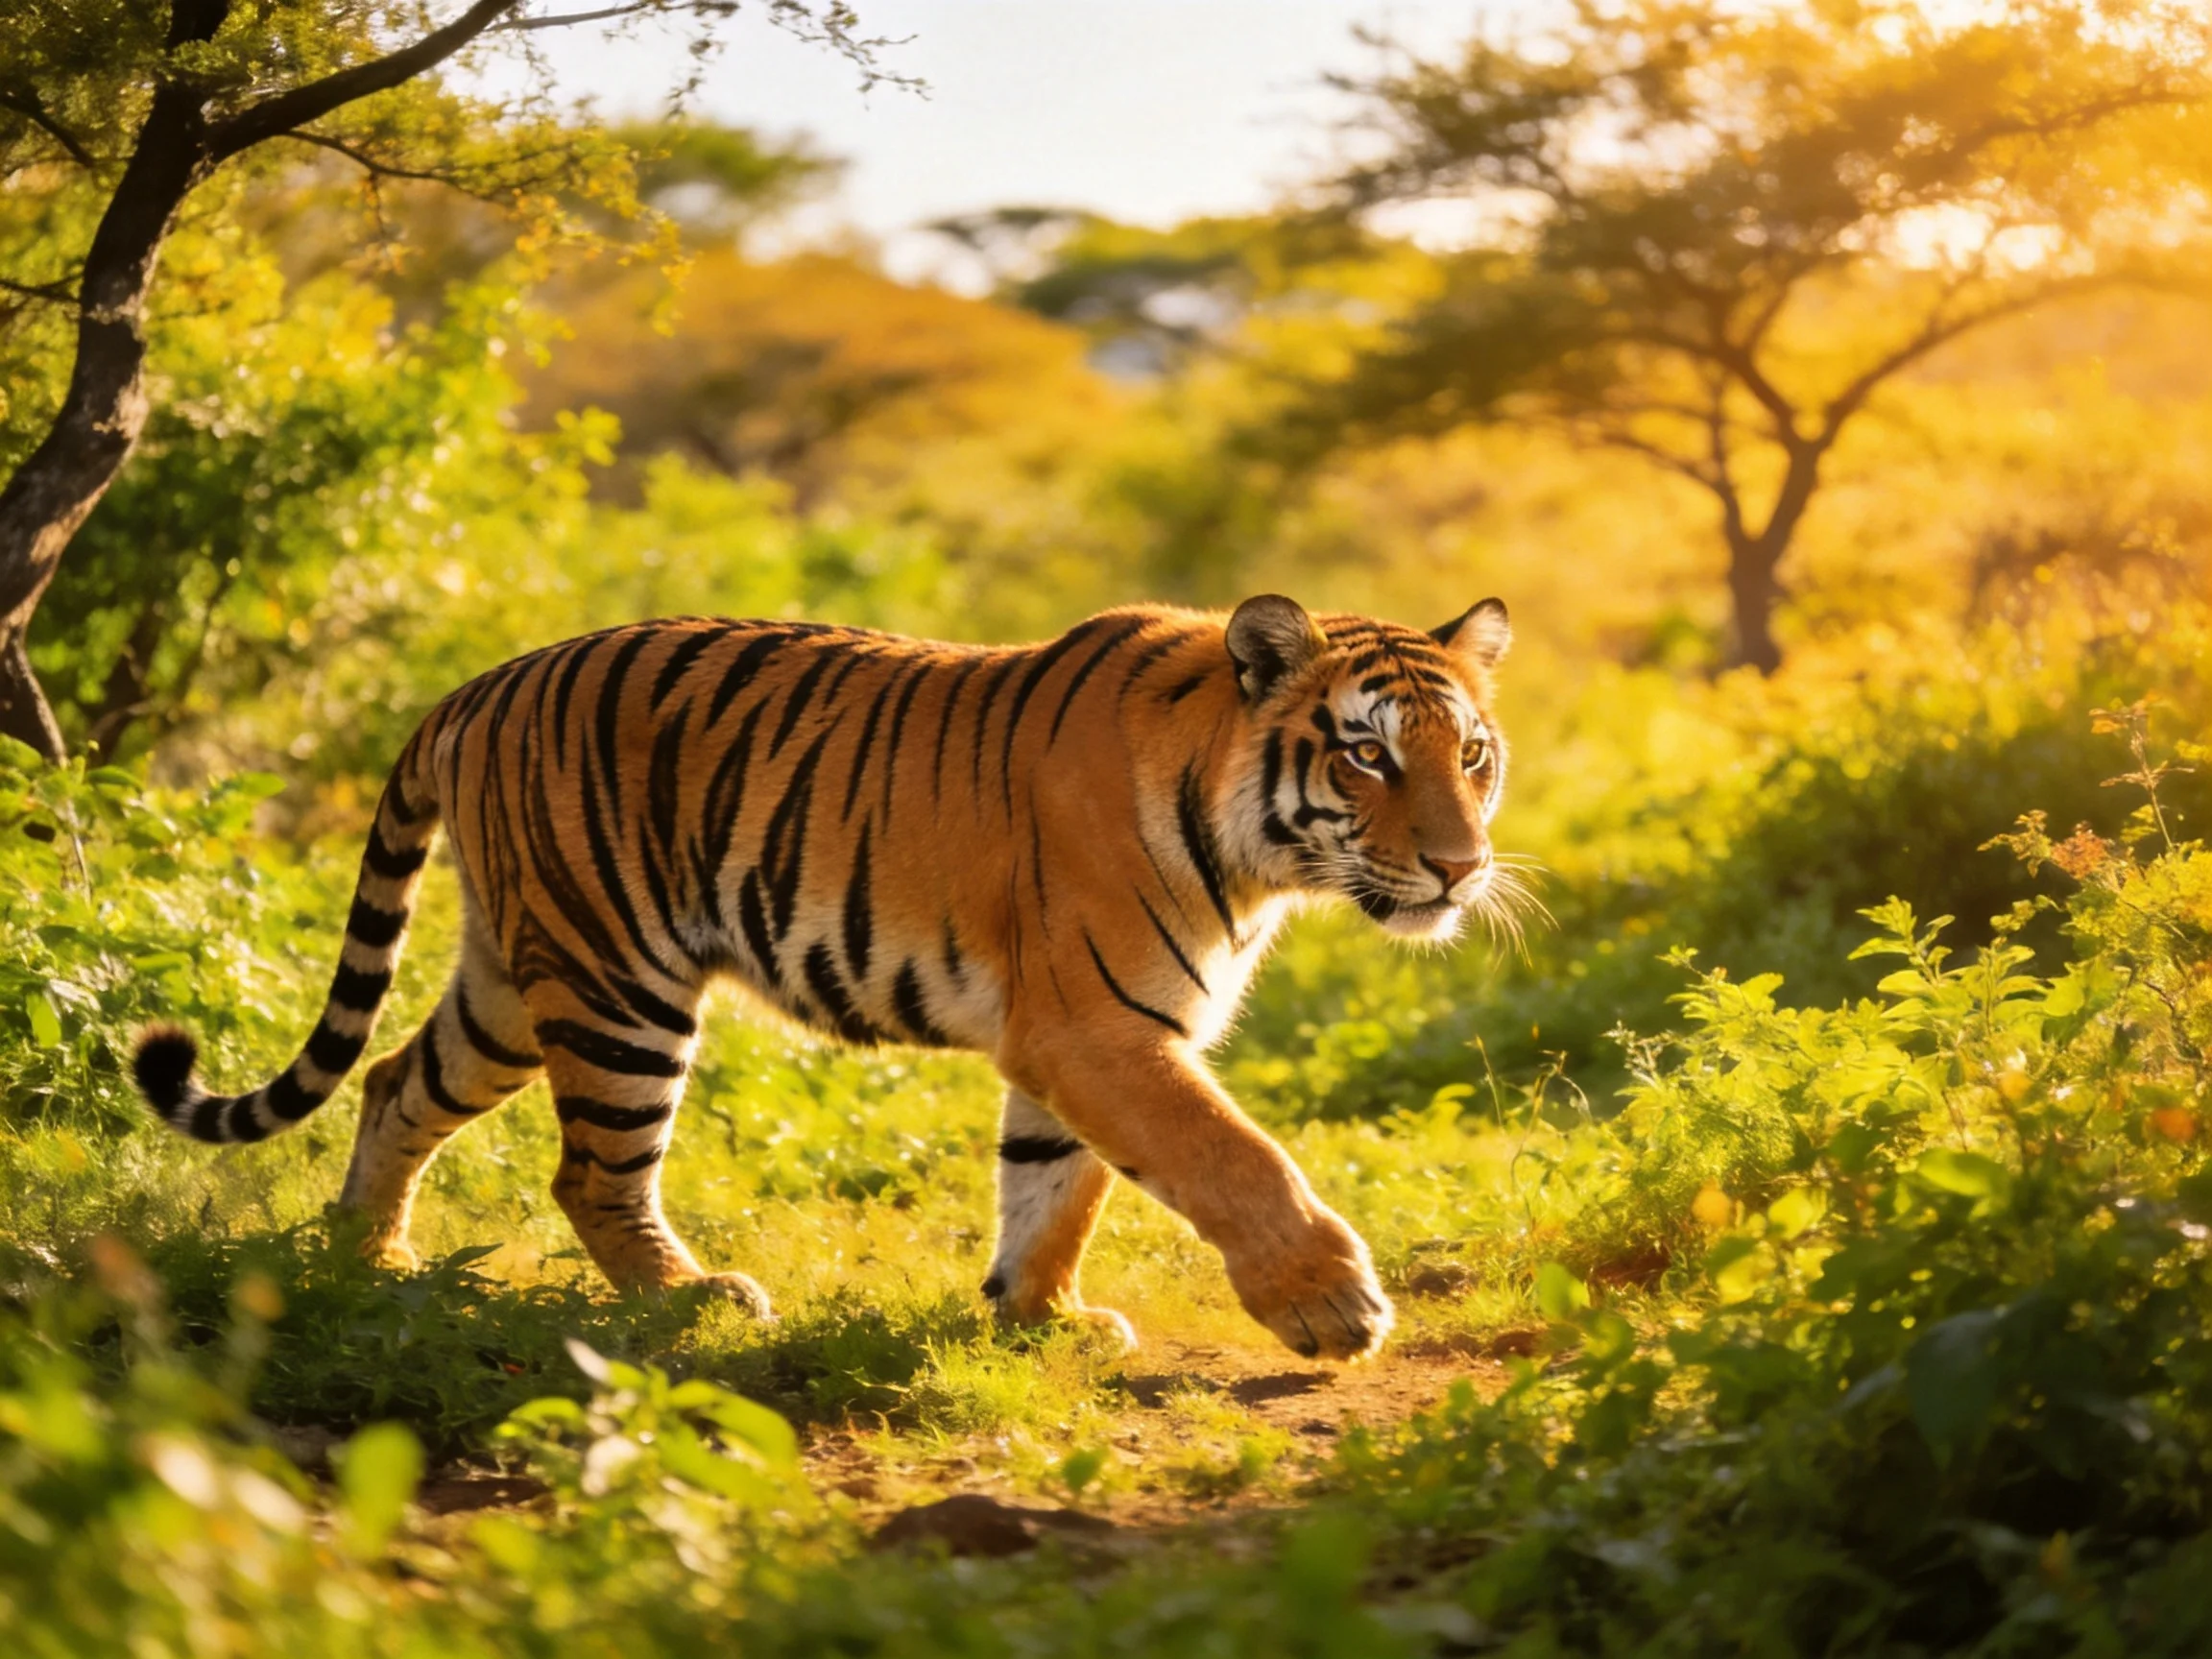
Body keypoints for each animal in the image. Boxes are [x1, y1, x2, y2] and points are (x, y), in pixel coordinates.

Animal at [134, 593, 1519, 1361]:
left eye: (1474, 756)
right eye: (1366, 755)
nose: (1461, 869)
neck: (1256, 856)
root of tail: (475, 685)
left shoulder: (1088, 1035)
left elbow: (1054, 1186)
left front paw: (1039, 1320)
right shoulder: (1098, 1026)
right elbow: (1234, 1160)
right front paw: (1334, 1307)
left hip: (511, 979)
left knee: (389, 1081)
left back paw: (362, 1263)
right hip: (618, 983)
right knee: (591, 1173)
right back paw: (693, 1303)